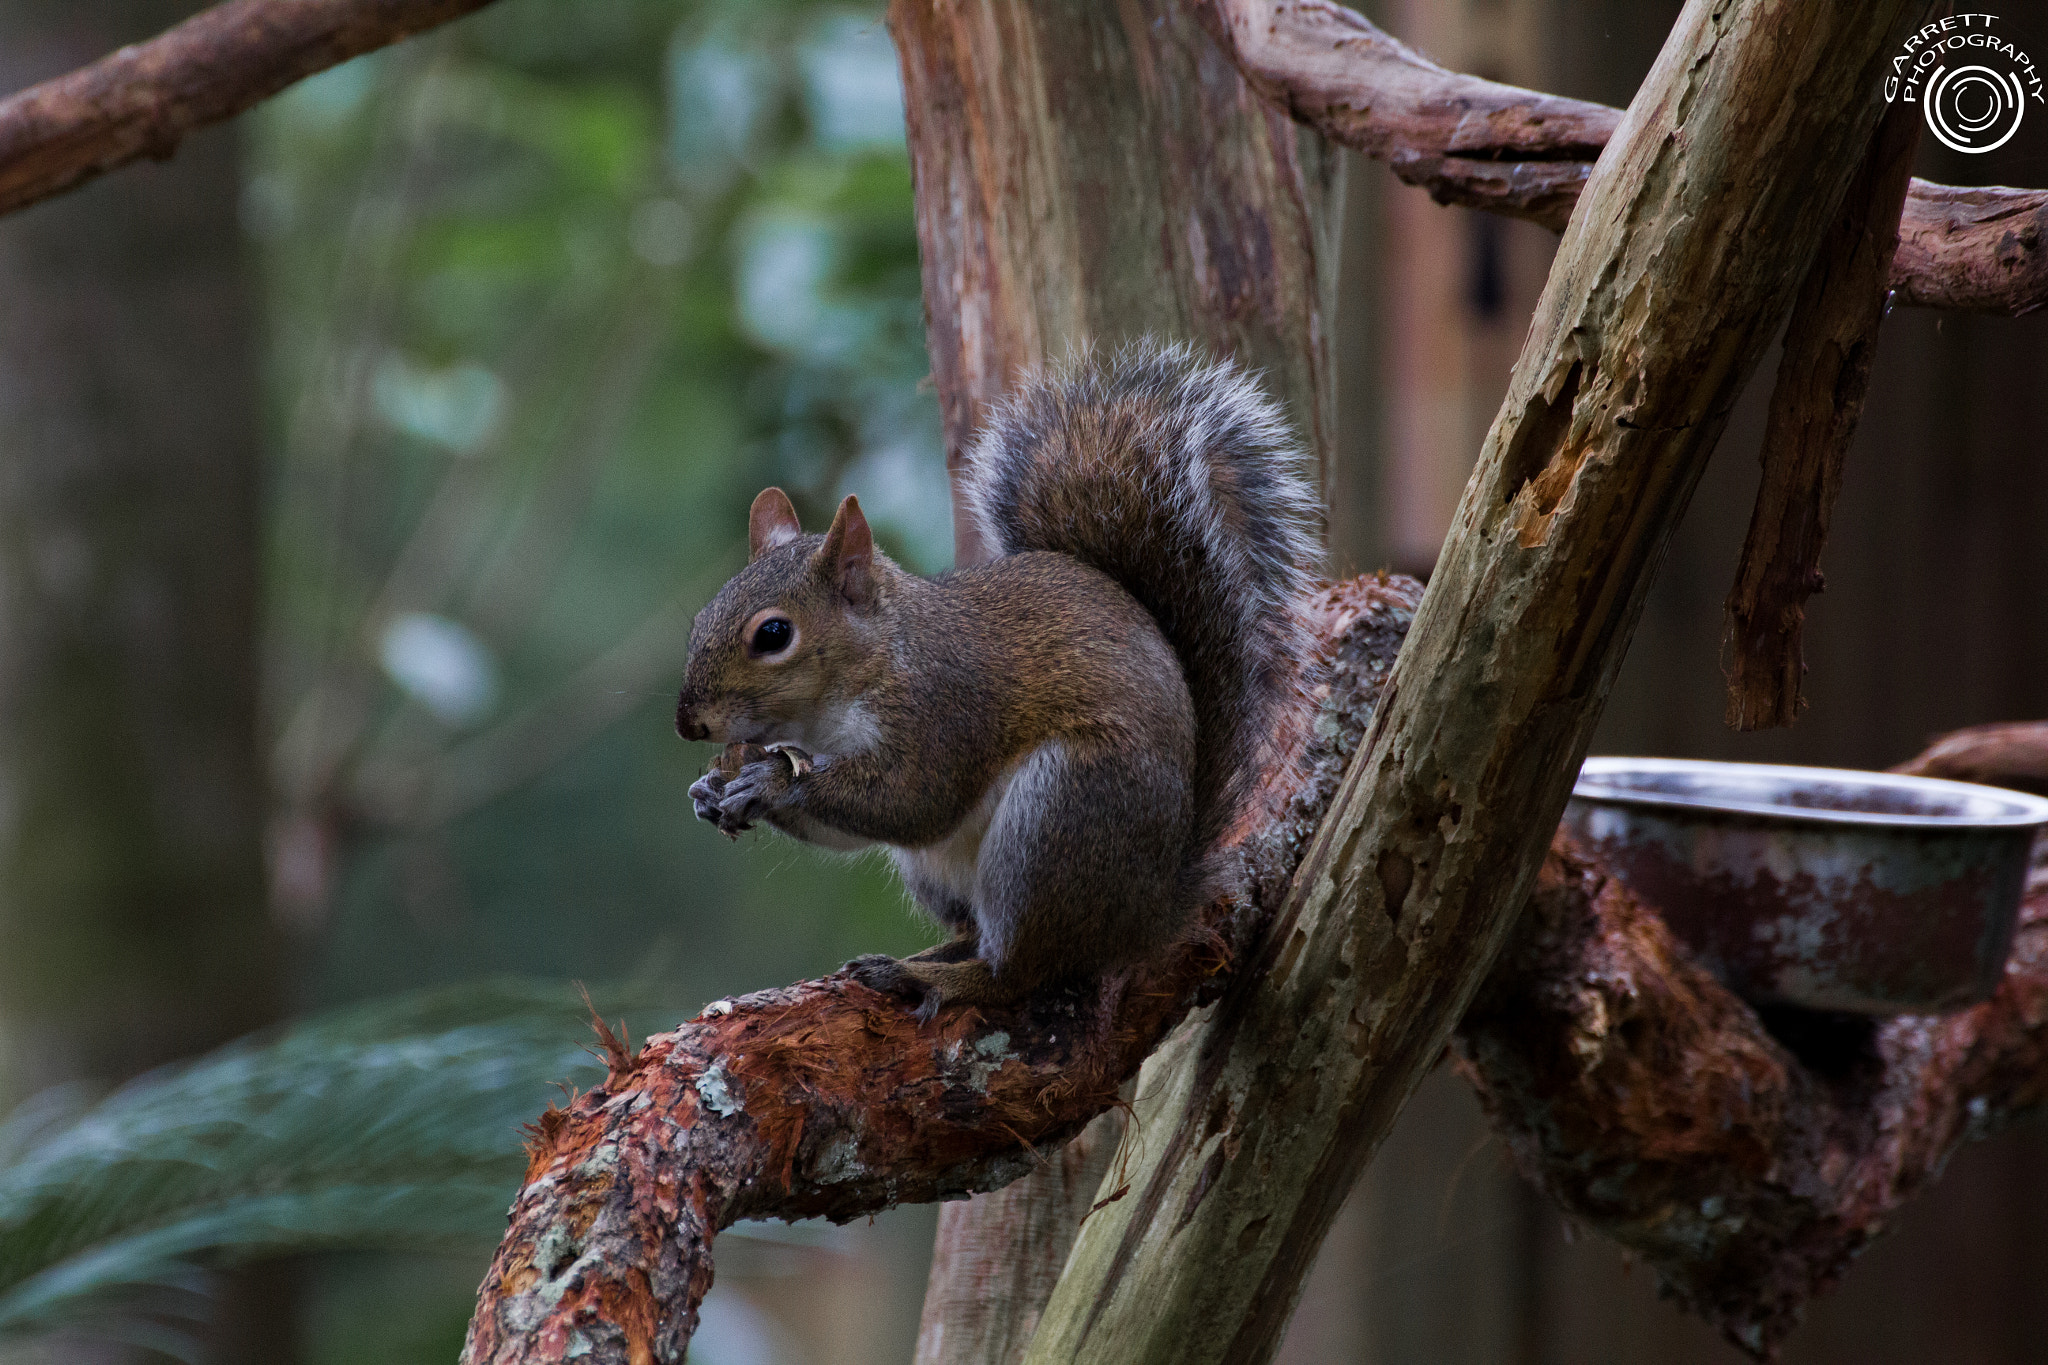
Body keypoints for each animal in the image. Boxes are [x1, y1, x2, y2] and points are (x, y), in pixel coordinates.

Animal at [676, 341, 1319, 1019]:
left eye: (773, 635)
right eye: (700, 618)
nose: (688, 723)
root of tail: (1149, 911)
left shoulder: (947, 708)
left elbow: (913, 801)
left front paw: (770, 781)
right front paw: (710, 790)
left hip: (1059, 820)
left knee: (1020, 969)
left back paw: (936, 979)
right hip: (944, 871)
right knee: (976, 932)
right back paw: (932, 956)